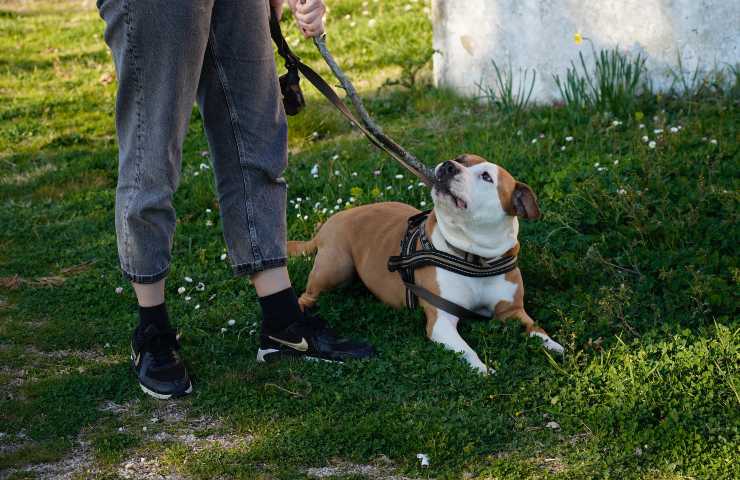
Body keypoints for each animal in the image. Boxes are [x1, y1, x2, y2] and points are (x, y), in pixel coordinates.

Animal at [288, 156, 560, 374]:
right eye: (461, 158)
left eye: (486, 176)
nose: (449, 165)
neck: (474, 257)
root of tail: (332, 219)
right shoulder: (442, 320)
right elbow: (466, 350)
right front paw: (483, 369)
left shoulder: (512, 311)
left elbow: (536, 329)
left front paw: (555, 347)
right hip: (335, 268)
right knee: (307, 295)